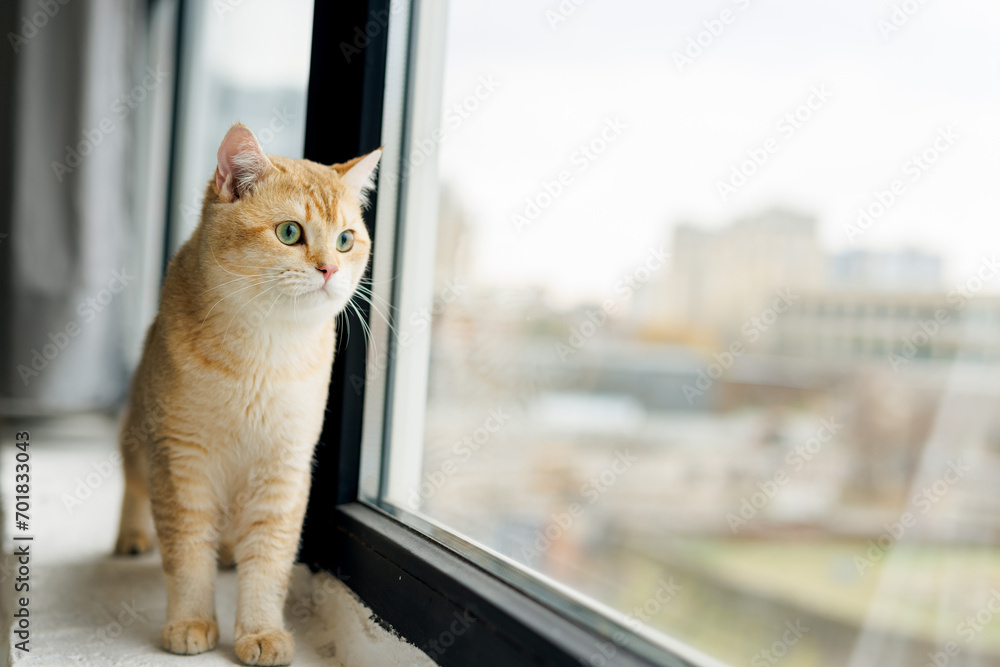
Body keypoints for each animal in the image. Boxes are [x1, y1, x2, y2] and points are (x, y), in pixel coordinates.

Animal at [115, 122, 380, 664]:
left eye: (346, 241)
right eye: (289, 233)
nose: (329, 269)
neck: (261, 356)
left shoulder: (283, 469)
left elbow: (269, 562)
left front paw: (260, 632)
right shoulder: (180, 462)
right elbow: (186, 553)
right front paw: (191, 622)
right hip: (139, 440)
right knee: (132, 484)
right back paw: (131, 535)